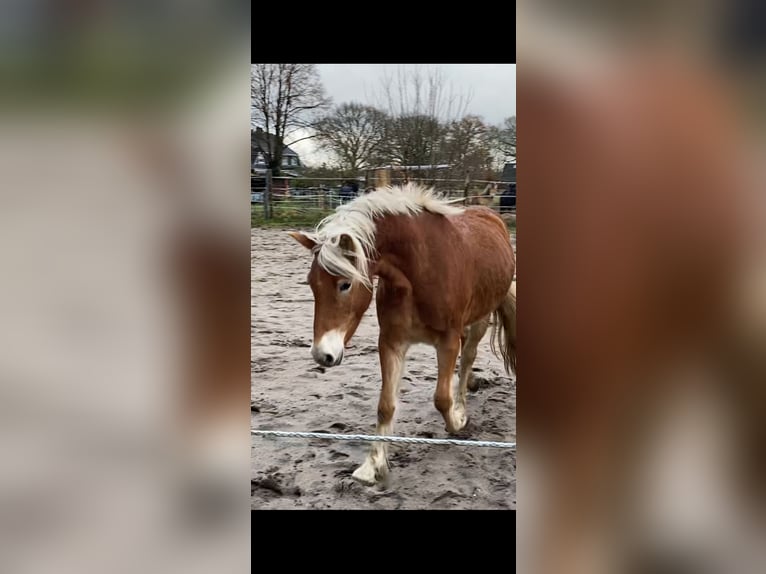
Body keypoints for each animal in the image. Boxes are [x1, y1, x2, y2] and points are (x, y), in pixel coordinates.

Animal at [292, 184, 520, 486]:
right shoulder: (392, 343)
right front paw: (372, 465)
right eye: (311, 284)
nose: (322, 355)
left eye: (345, 284)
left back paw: (462, 404)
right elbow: (386, 405)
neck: (420, 270)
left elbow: (442, 398)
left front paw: (457, 421)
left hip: (481, 319)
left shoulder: (447, 342)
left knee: (467, 359)